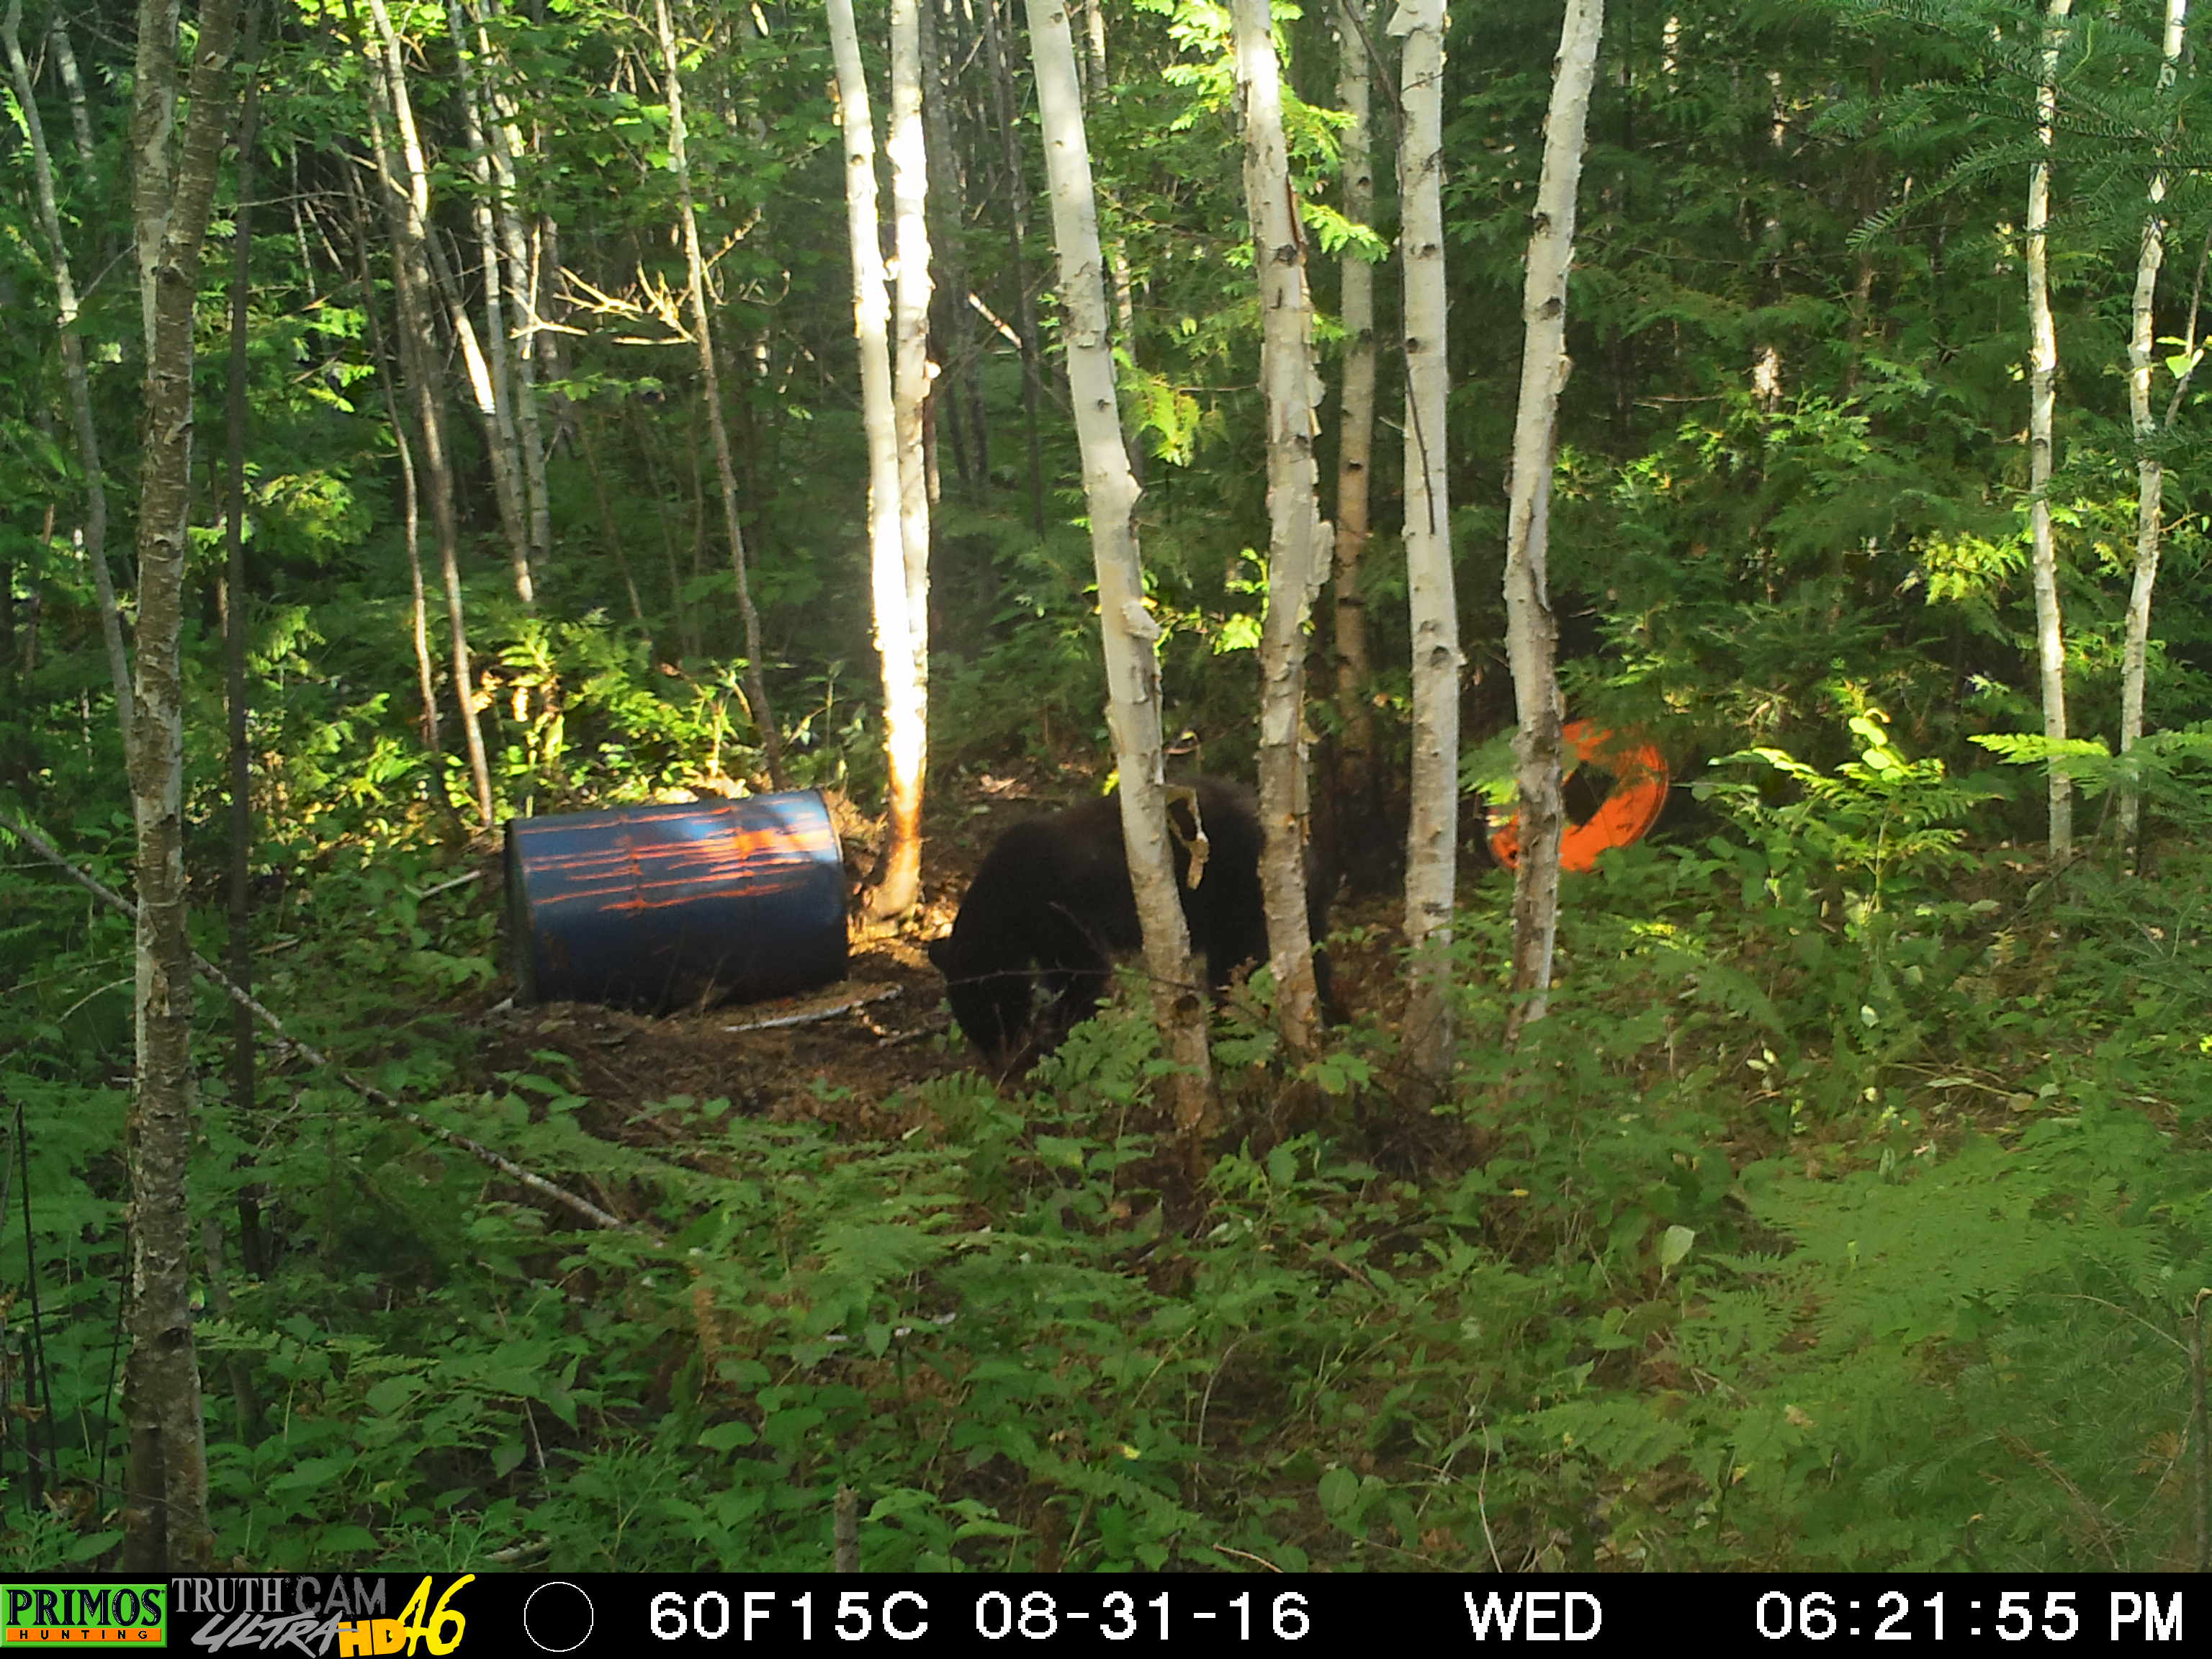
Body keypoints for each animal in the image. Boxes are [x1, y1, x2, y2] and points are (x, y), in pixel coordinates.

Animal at [926, 777, 1336, 1066]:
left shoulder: (1062, 915)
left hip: (1239, 902)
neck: (1007, 902)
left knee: (1235, 968)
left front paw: (1060, 1041)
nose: (997, 1059)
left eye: (987, 1007)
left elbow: (1081, 975)